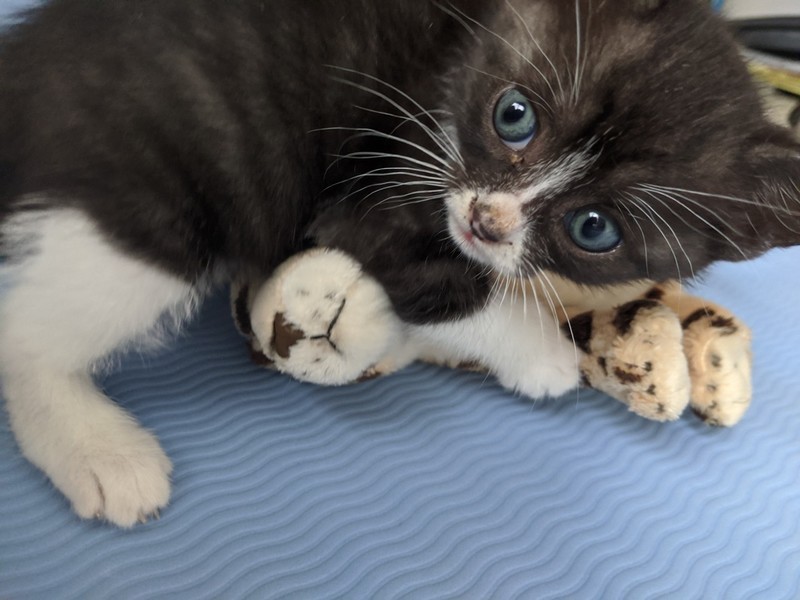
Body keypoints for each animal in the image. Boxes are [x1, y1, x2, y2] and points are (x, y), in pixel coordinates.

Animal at [1, 0, 798, 527]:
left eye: (594, 228)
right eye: (514, 115)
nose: (486, 220)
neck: (458, 55)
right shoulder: (369, 184)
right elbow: (451, 289)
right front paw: (542, 353)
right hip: (154, 201)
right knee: (25, 332)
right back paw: (101, 451)